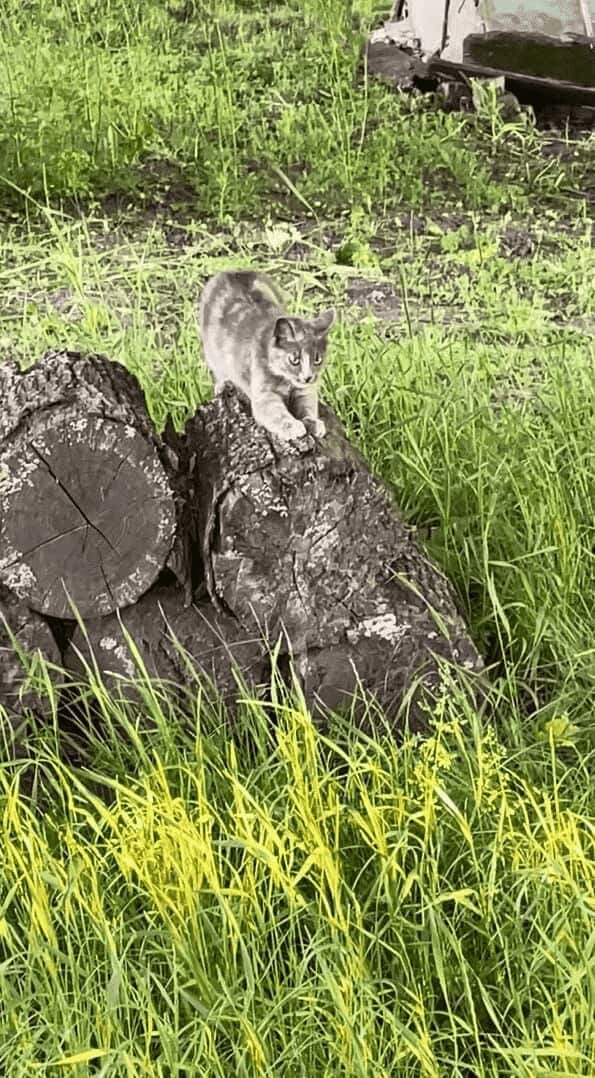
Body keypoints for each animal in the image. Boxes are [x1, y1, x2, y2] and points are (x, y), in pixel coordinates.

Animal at [198, 268, 334, 437]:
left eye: (317, 359)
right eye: (294, 359)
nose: (308, 377)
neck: (286, 381)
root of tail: (232, 271)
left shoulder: (304, 391)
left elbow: (307, 405)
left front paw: (313, 422)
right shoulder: (264, 395)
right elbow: (276, 412)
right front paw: (293, 426)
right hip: (211, 351)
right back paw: (222, 386)